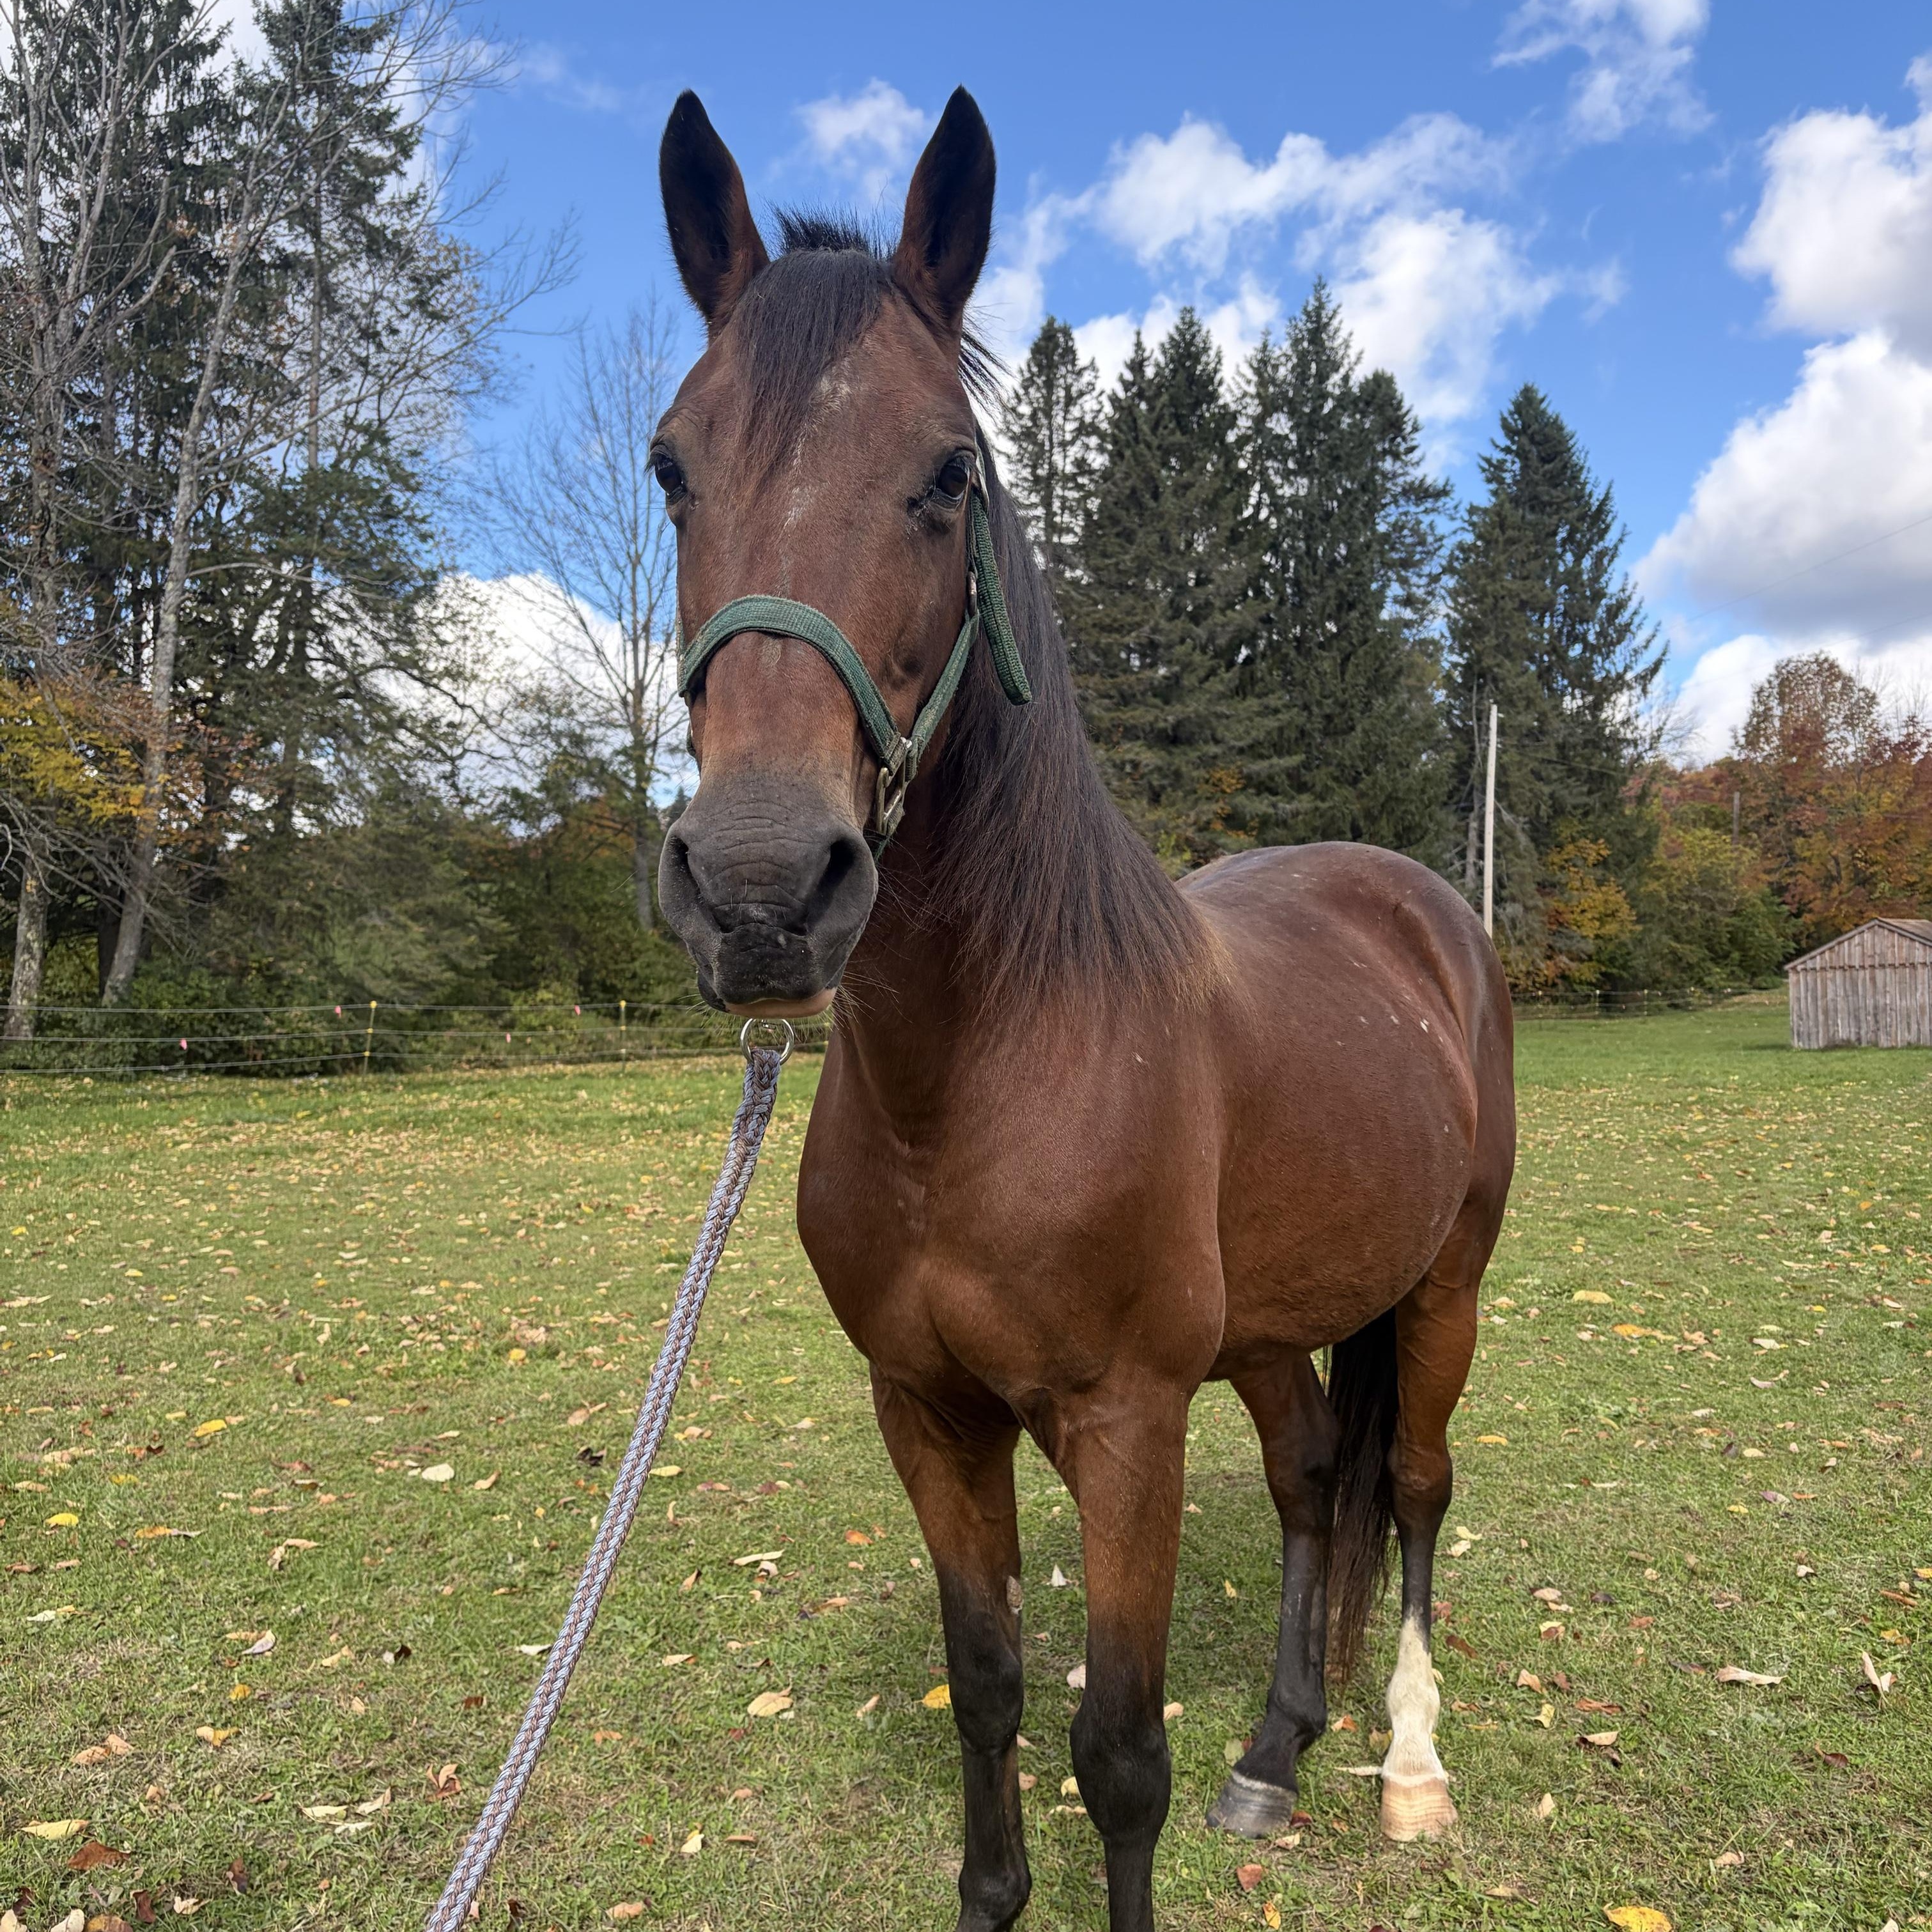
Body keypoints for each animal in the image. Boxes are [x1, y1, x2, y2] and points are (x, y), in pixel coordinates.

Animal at [651, 87, 1516, 1932]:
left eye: (946, 472)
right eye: (671, 464)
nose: (760, 886)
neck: (983, 1070)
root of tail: (1418, 907)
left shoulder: (1124, 1424)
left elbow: (1115, 1748)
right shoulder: (927, 1412)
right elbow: (984, 1684)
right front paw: (994, 1885)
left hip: (1444, 1283)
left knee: (1409, 1487)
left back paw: (1404, 1764)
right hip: (1269, 1328)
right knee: (1310, 1482)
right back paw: (1278, 1743)